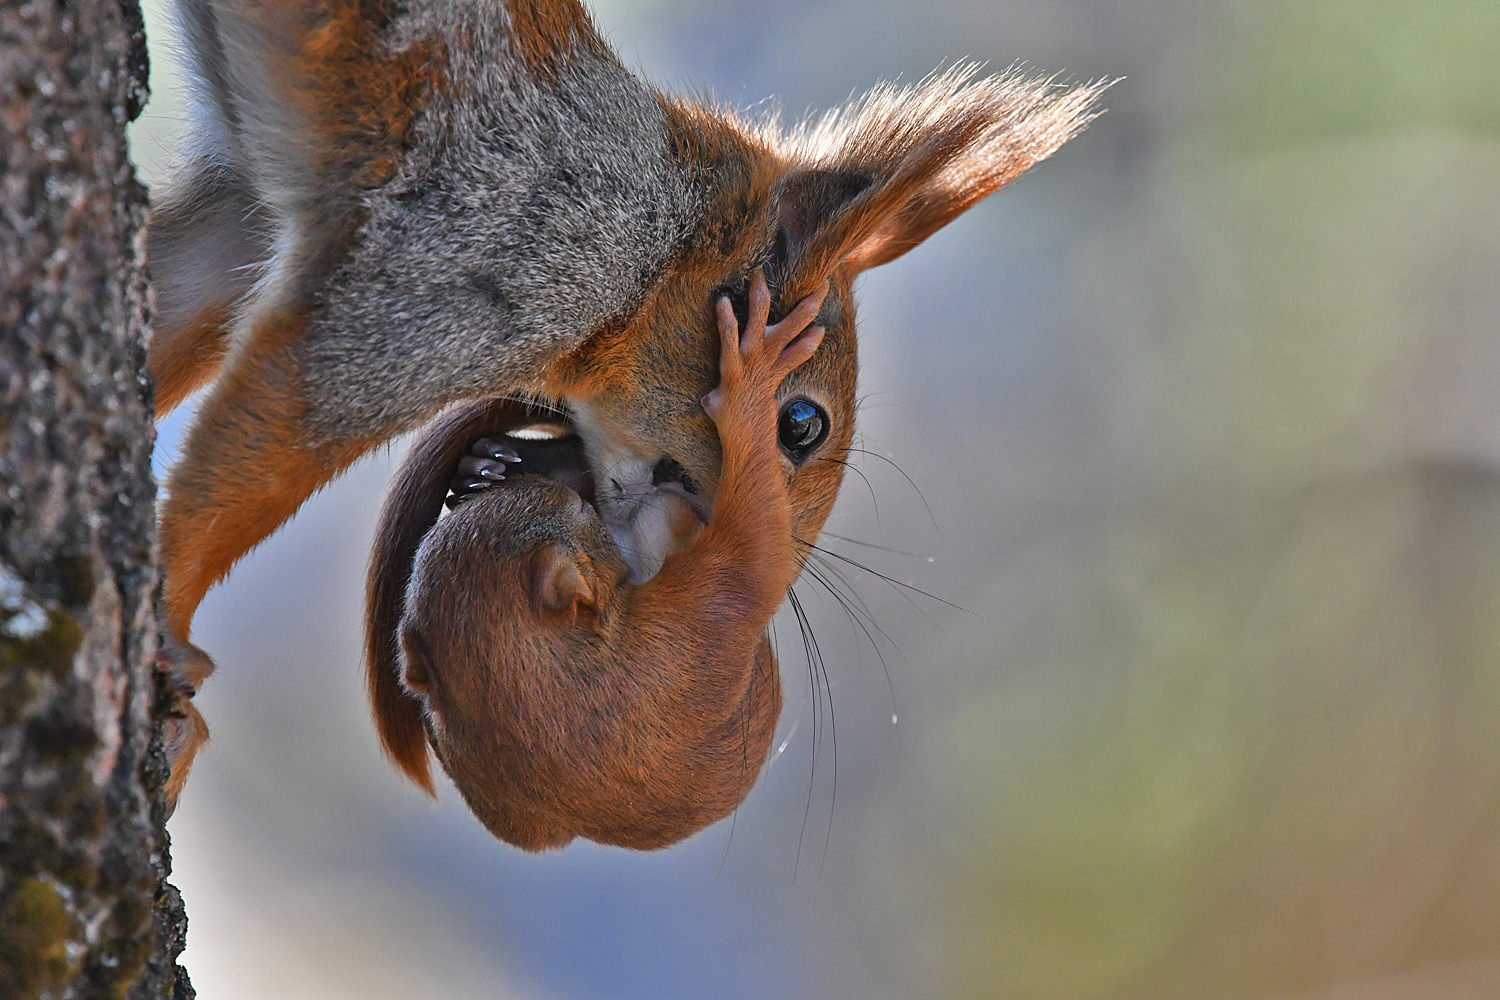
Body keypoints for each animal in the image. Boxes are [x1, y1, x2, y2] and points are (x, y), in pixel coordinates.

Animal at [143, 0, 1104, 803]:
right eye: (801, 423)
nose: (753, 587)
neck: (656, 239)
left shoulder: (245, 220)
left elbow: (172, 313)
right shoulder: (473, 267)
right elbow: (270, 440)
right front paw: (168, 625)